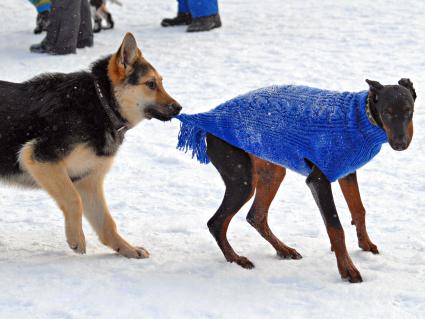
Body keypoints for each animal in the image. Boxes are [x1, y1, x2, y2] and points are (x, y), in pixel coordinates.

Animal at [0, 31, 181, 258]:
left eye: (161, 82)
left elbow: (107, 223)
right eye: (151, 84)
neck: (101, 105)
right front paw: (76, 238)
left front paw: (126, 249)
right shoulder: (39, 157)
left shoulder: (88, 180)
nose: (179, 108)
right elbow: (73, 200)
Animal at [204, 79, 416, 282]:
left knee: (256, 216)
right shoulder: (318, 180)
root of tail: (207, 118)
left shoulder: (347, 172)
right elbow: (335, 227)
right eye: (387, 112)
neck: (360, 119)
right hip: (242, 180)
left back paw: (283, 250)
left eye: (409, 111)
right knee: (215, 223)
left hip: (272, 171)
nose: (400, 144)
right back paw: (236, 259)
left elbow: (358, 209)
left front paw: (365, 244)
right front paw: (347, 269)